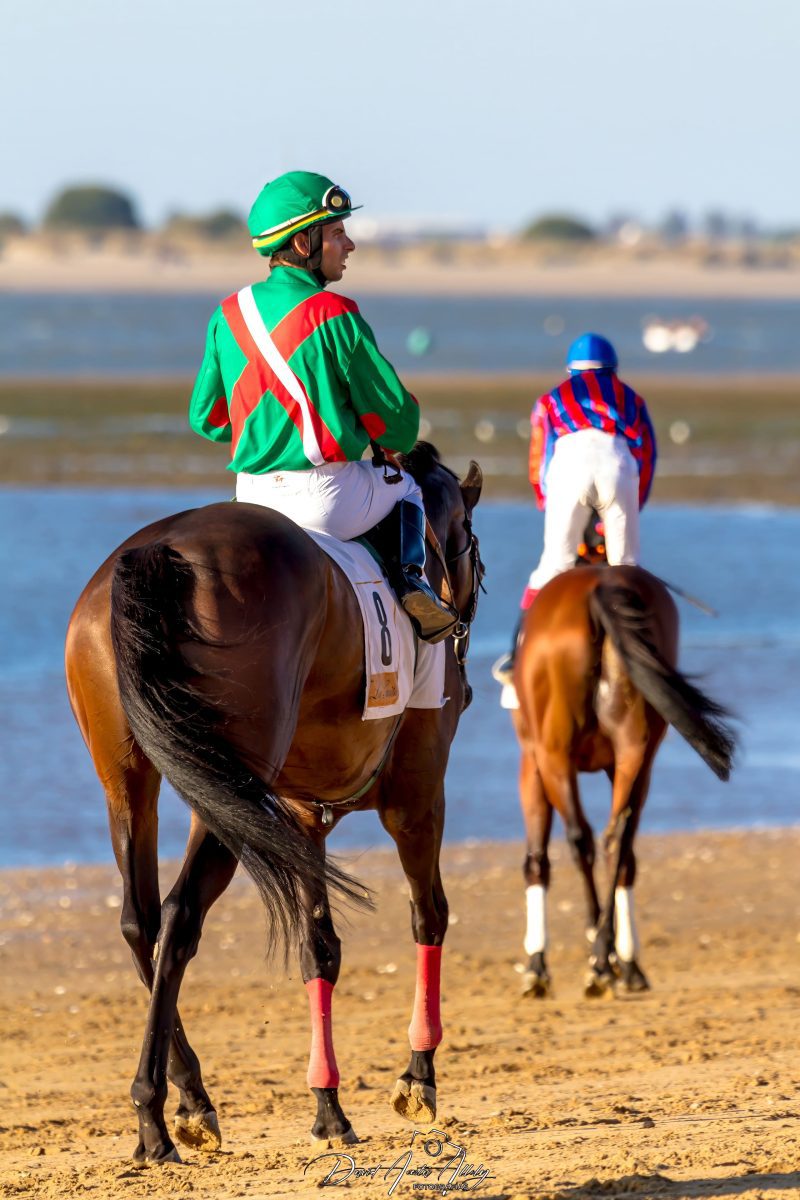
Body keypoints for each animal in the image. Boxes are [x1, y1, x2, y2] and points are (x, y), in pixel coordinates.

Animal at [64, 443, 483, 1164]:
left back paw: (189, 1099)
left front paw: (328, 1105)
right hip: (231, 790)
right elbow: (428, 917)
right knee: (178, 917)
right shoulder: (418, 797)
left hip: (135, 781)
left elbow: (320, 947)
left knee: (140, 920)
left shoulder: (300, 820)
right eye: (474, 548)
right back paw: (153, 1115)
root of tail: (158, 551)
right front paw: (417, 1076)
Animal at [509, 562, 736, 999]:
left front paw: (537, 966)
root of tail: (599, 584)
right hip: (635, 751)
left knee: (580, 839)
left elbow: (537, 858)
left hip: (554, 754)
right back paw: (606, 956)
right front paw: (626, 963)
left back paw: (598, 961)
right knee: (619, 836)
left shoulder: (531, 764)